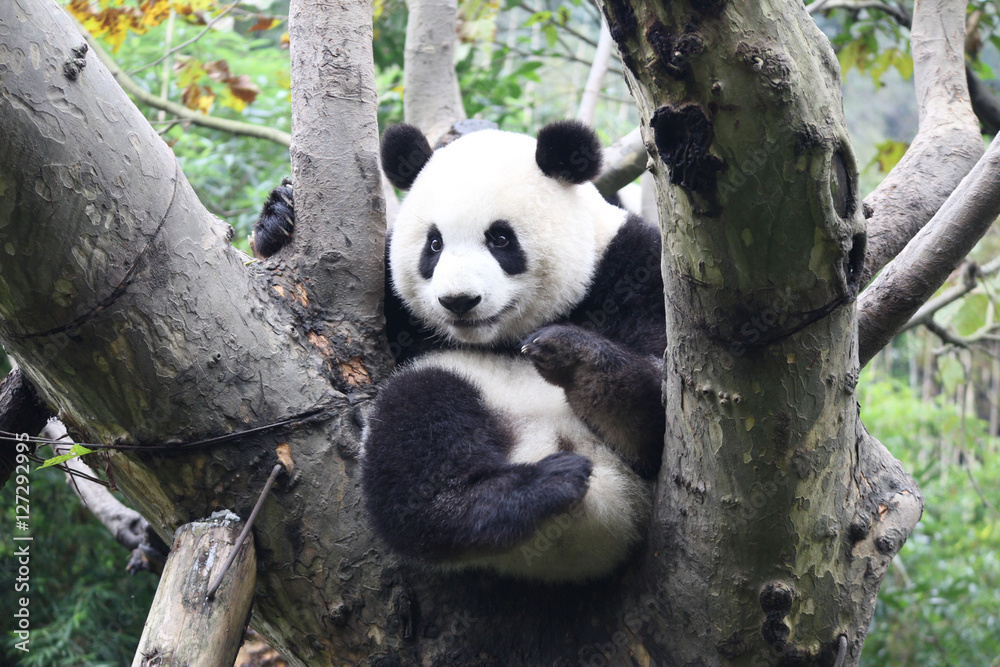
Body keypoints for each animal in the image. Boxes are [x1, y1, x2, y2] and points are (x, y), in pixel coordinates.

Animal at [254, 120, 665, 581]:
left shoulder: (632, 264)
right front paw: (279, 219)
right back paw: (517, 493)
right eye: (434, 245)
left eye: (500, 238)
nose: (459, 301)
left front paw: (581, 357)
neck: (503, 339)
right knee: (417, 418)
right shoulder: (398, 310)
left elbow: (662, 381)